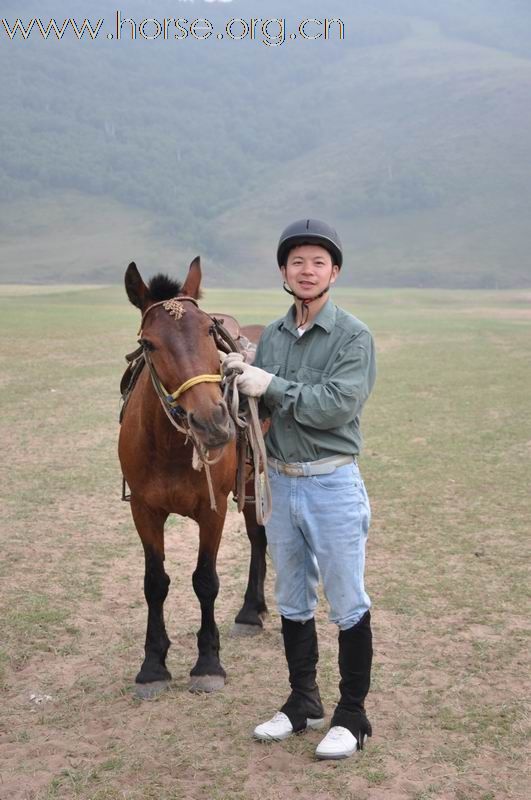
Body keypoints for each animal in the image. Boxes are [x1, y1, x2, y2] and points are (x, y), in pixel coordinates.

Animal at [121, 258, 270, 692]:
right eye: (149, 343)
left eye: (208, 329)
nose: (213, 422)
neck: (170, 446)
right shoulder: (144, 511)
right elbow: (155, 583)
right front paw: (153, 665)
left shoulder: (212, 509)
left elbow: (205, 580)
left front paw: (208, 663)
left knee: (260, 538)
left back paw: (250, 611)